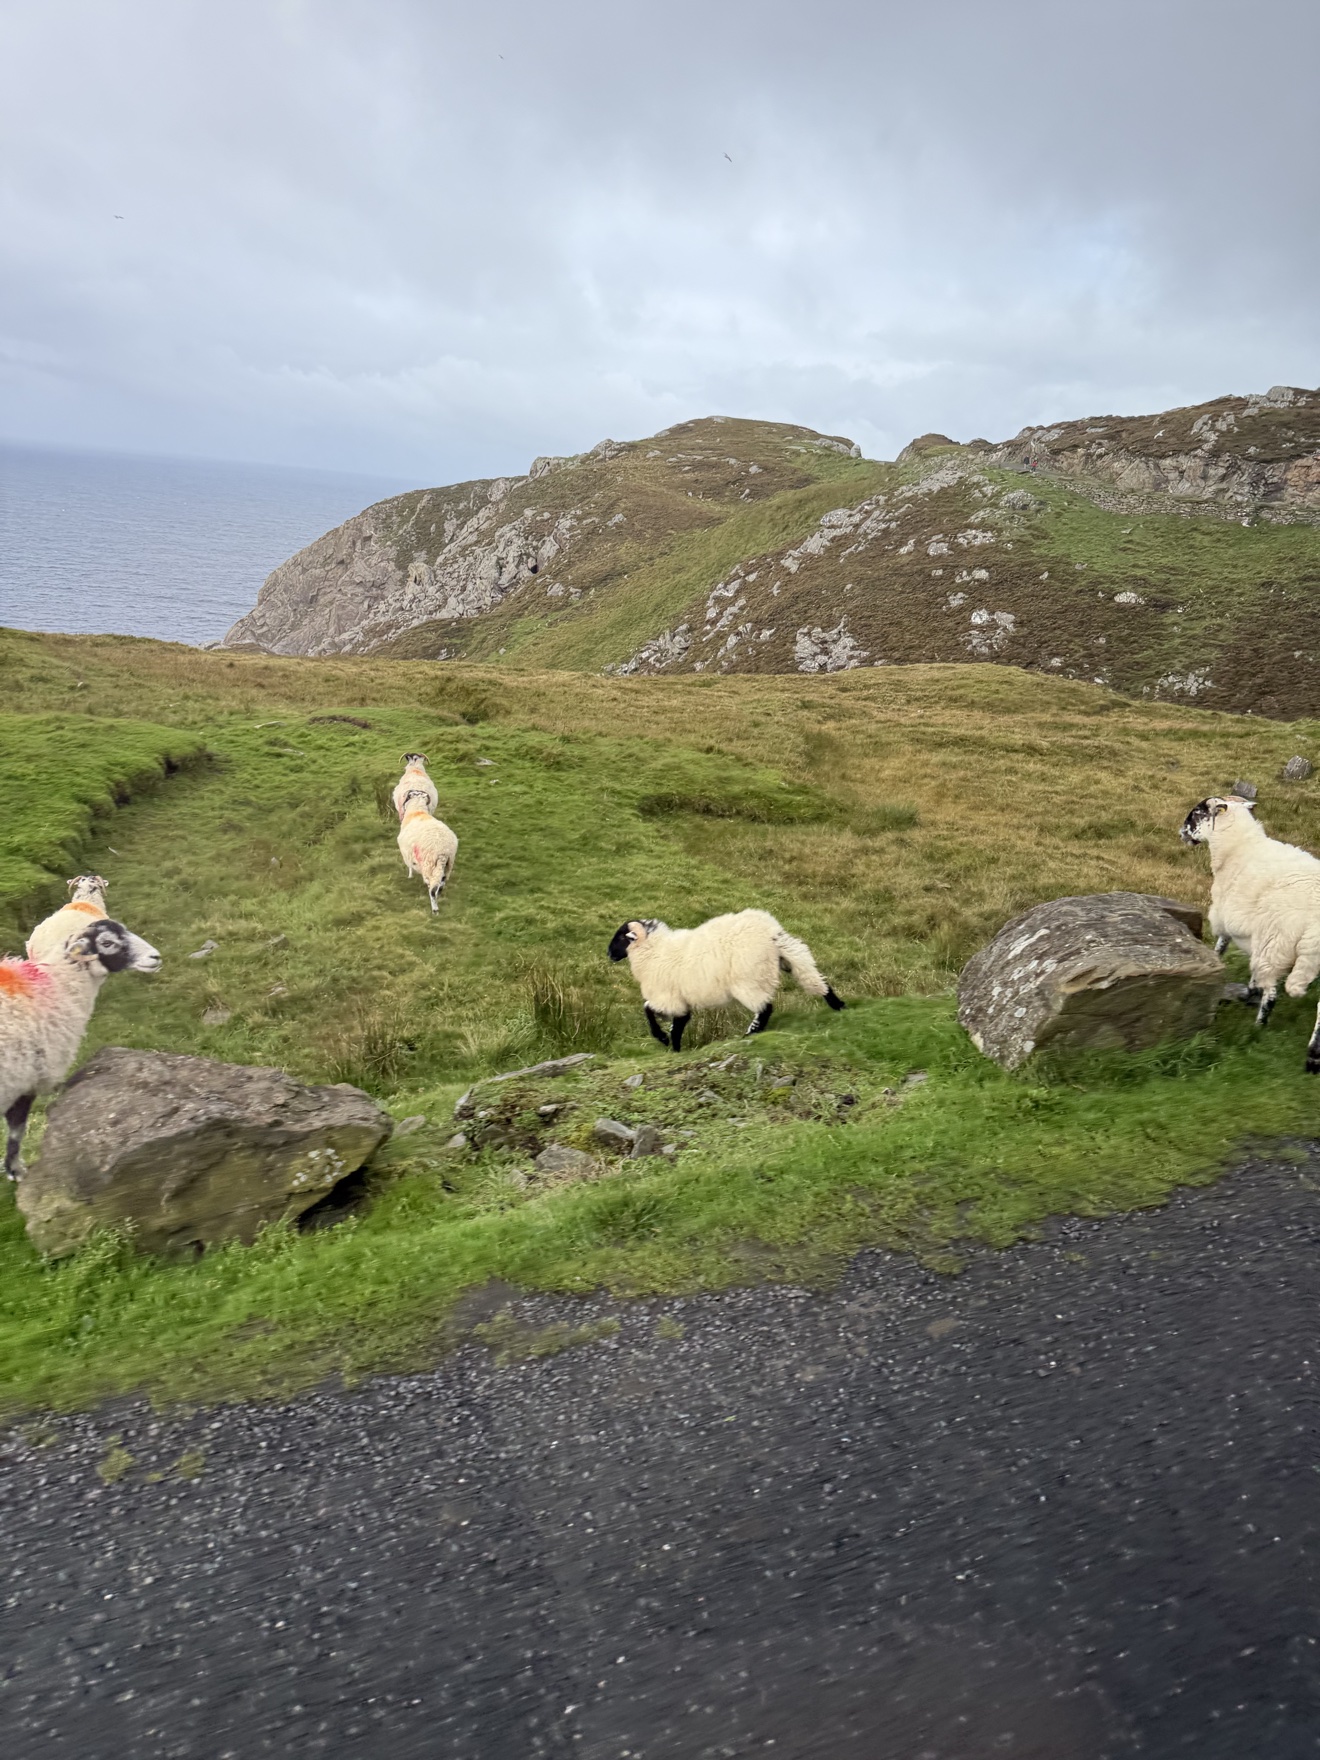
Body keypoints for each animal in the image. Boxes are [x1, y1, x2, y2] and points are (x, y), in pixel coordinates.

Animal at [2, 916, 161, 1179]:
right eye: (107, 942)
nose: (155, 957)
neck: (56, 985)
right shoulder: (26, 1080)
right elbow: (17, 1131)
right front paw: (15, 1170)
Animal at [608, 908, 844, 1050]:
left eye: (621, 937)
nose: (609, 954)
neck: (654, 951)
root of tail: (771, 932)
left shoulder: (667, 998)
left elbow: (648, 1011)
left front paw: (663, 1039)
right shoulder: (680, 1002)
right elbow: (678, 1026)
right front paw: (675, 1048)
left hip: (748, 980)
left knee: (765, 1008)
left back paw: (750, 1034)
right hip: (789, 955)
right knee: (815, 979)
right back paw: (838, 1005)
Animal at [1180, 794, 1320, 1070]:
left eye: (1196, 812)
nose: (1181, 833)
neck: (1238, 847)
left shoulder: (1228, 917)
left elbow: (1221, 946)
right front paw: (1249, 991)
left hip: (1276, 941)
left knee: (1272, 993)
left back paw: (1259, 1026)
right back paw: (1313, 1054)